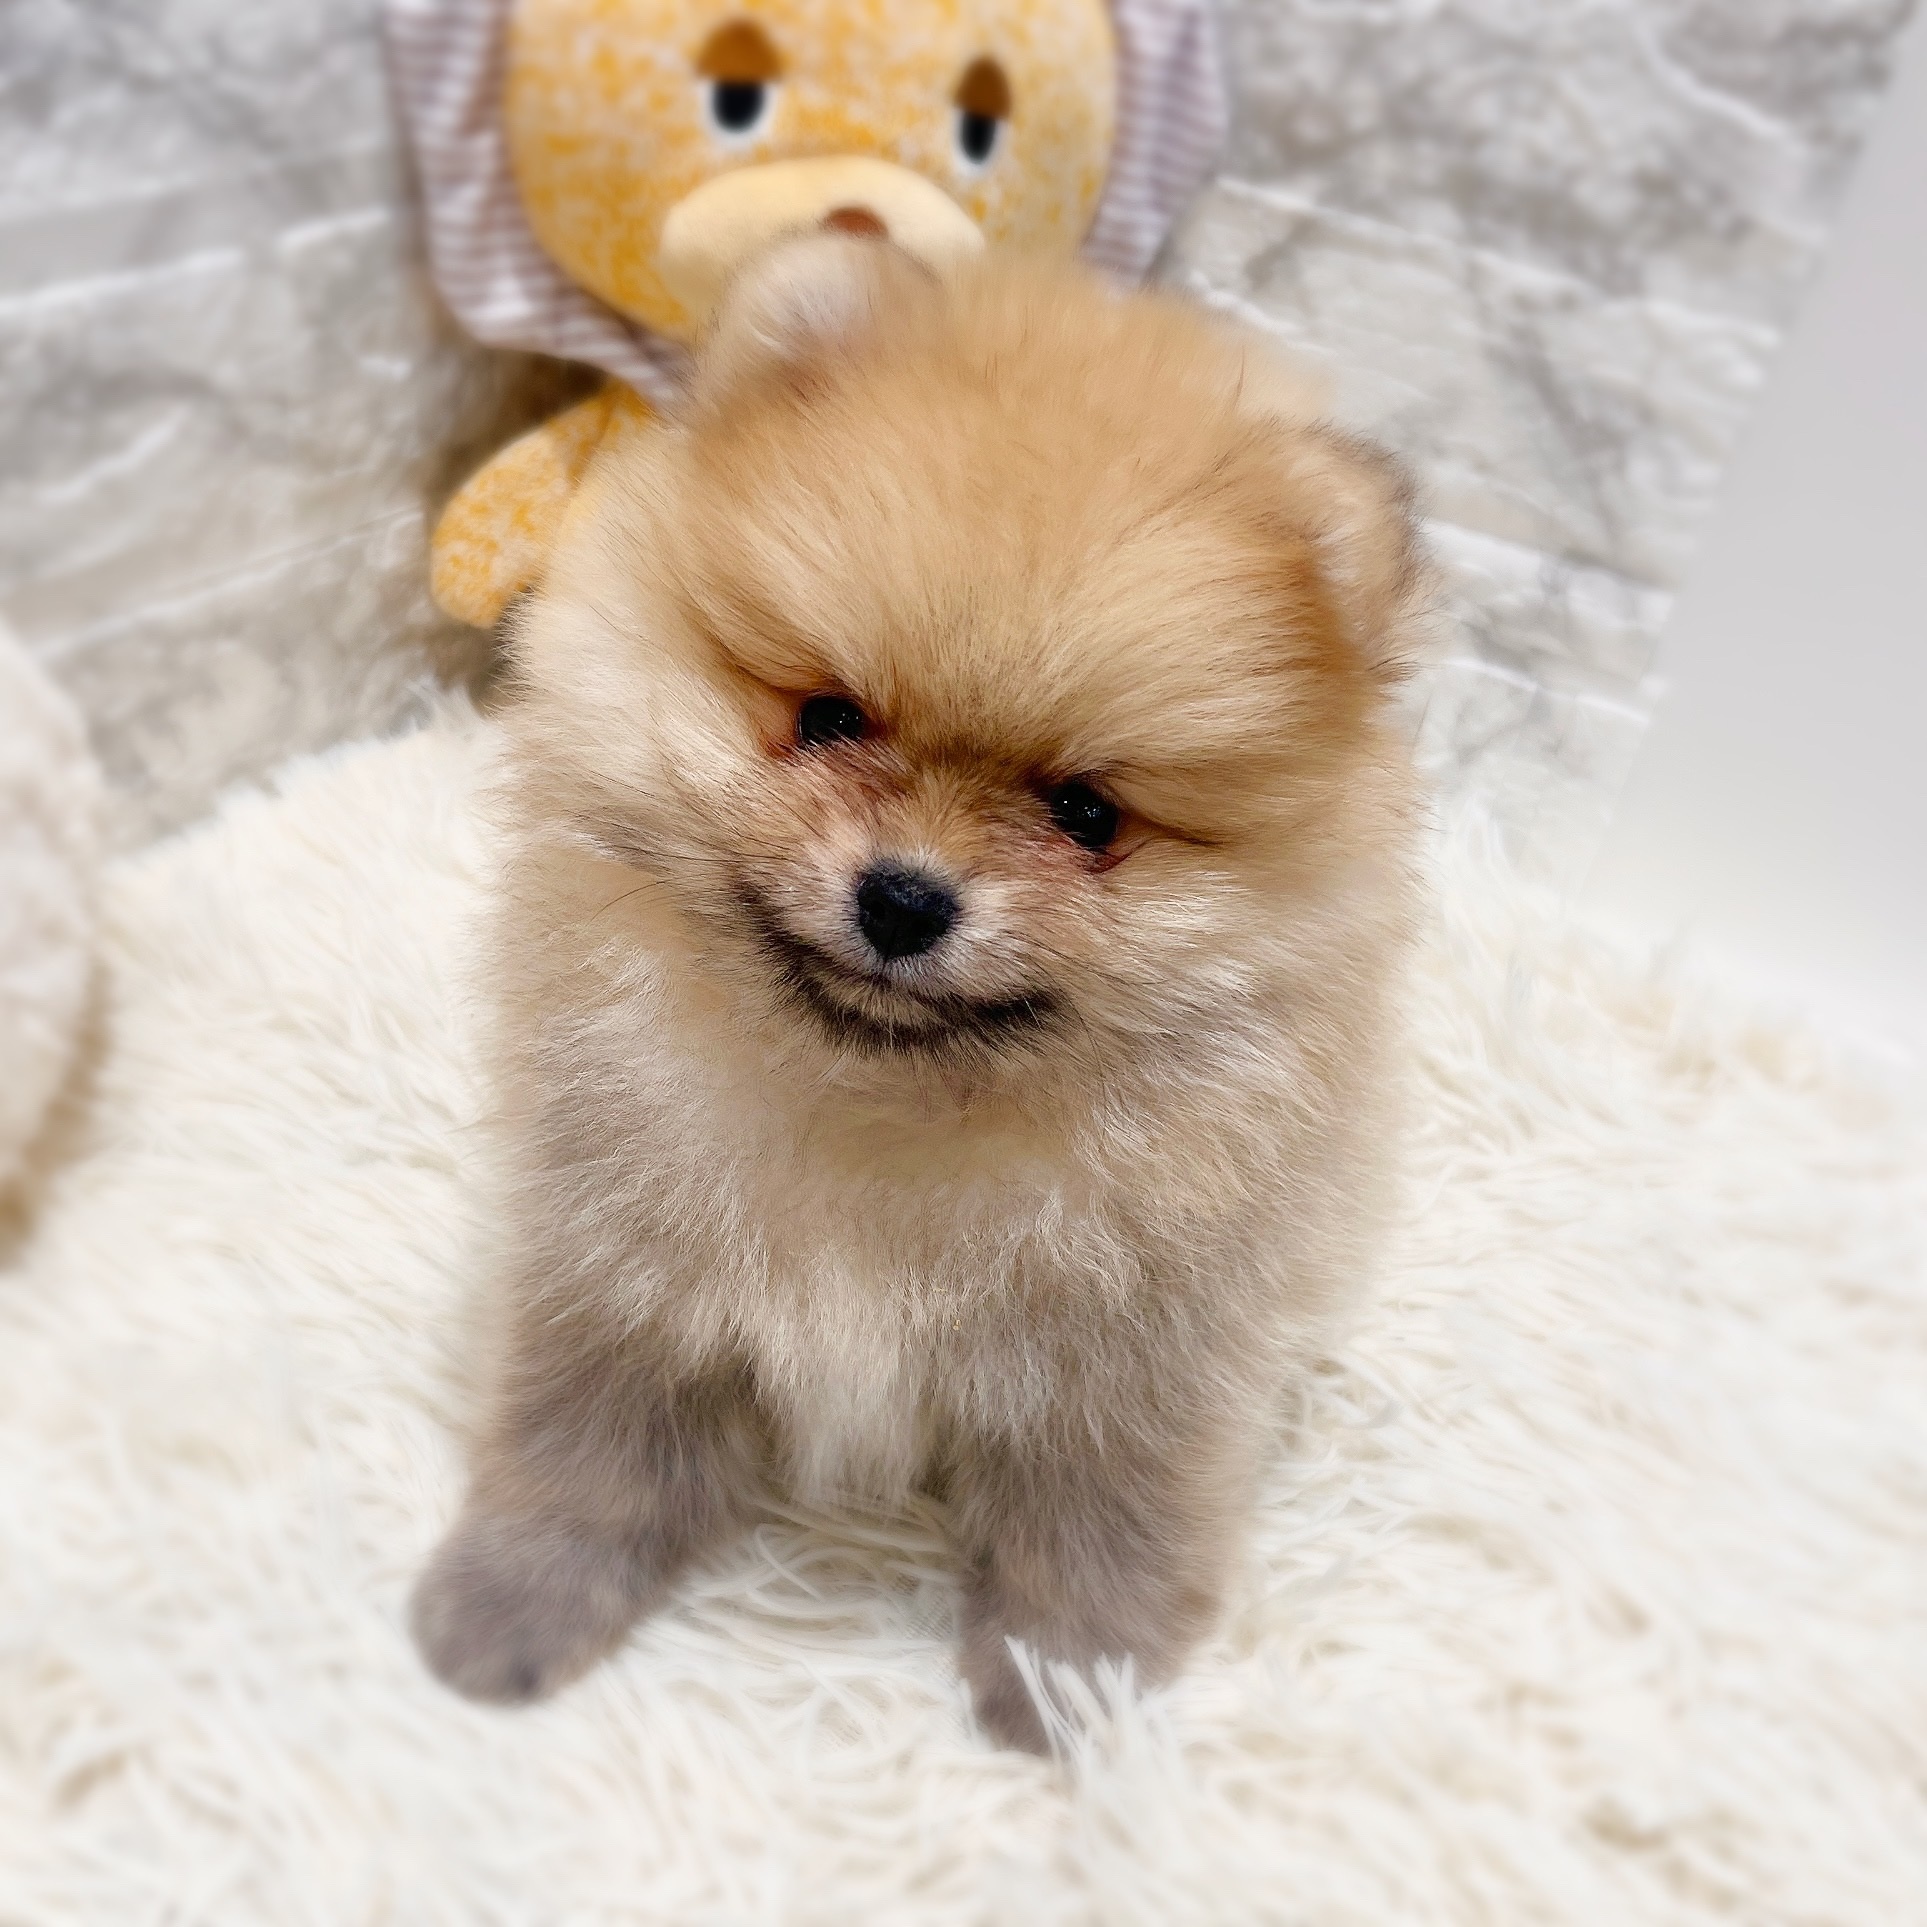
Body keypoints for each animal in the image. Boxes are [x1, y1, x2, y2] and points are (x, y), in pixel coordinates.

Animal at [410, 236, 1427, 1751]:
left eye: (1085, 813)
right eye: (828, 718)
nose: (902, 898)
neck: (879, 1103)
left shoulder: (1129, 1365)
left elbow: (1098, 1531)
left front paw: (1067, 1688)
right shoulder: (626, 1272)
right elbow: (581, 1451)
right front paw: (511, 1606)